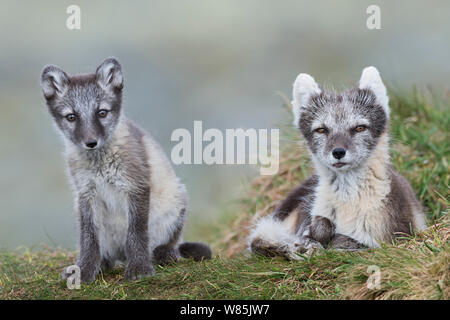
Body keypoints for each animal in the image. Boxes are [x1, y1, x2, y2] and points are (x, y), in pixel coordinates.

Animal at [39, 58, 212, 282]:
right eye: (71, 117)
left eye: (102, 113)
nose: (91, 143)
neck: (99, 165)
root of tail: (120, 254)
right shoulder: (86, 193)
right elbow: (89, 239)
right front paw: (84, 270)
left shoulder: (136, 185)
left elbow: (136, 233)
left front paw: (139, 268)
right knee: (106, 252)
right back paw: (103, 263)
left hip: (177, 198)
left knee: (166, 245)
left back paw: (163, 254)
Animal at [248, 67, 428, 260]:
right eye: (321, 130)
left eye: (359, 128)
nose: (338, 152)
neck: (347, 200)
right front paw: (309, 242)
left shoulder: (393, 236)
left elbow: (357, 243)